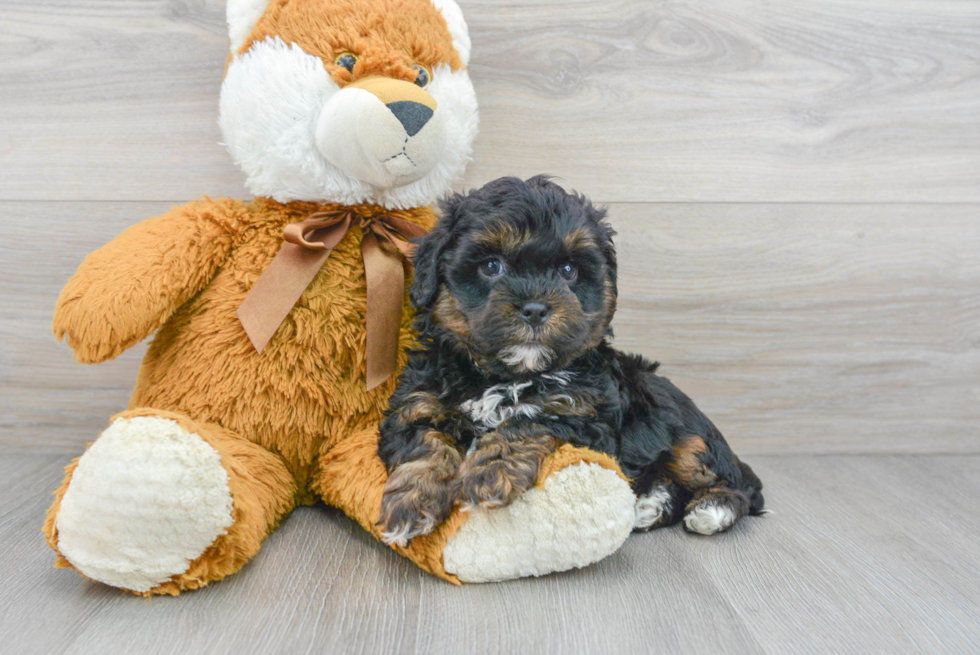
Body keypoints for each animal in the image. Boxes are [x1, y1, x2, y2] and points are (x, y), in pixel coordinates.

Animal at [376, 176, 764, 548]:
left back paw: (712, 509)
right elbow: (425, 443)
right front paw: (411, 501)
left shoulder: (584, 415)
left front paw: (489, 472)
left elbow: (527, 421)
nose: (535, 309)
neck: (505, 376)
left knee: (736, 482)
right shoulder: (415, 405)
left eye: (567, 270)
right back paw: (648, 507)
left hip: (687, 436)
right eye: (491, 266)